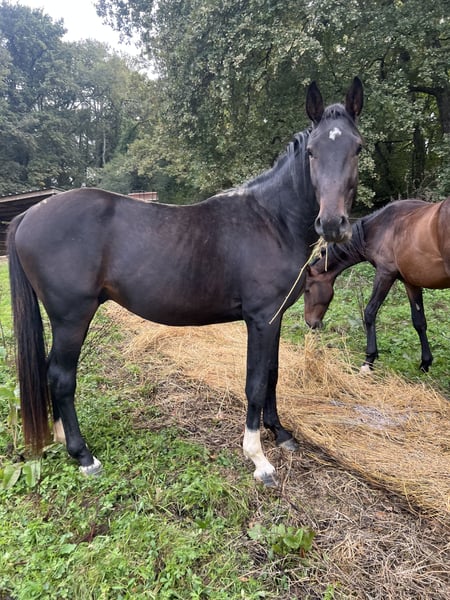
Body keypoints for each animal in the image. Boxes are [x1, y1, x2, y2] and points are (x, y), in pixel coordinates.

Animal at [8, 78, 363, 486]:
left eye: (357, 148)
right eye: (311, 152)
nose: (333, 224)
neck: (272, 221)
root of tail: (29, 214)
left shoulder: (273, 320)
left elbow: (273, 375)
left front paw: (281, 433)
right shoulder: (260, 320)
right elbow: (256, 382)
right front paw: (258, 458)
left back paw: (63, 439)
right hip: (71, 318)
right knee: (61, 377)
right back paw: (83, 455)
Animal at [304, 198, 450, 372]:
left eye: (306, 290)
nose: (310, 323)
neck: (380, 228)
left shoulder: (384, 274)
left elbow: (369, 313)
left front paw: (369, 360)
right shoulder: (411, 283)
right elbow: (419, 321)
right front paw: (425, 362)